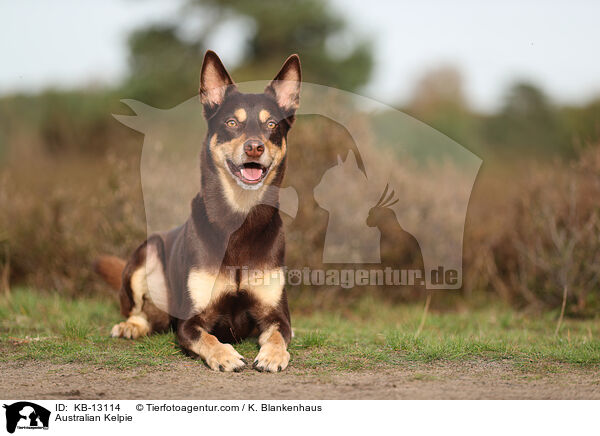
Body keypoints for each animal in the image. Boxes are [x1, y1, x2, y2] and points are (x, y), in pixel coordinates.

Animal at [96, 50, 302, 372]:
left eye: (271, 125)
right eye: (231, 122)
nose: (254, 147)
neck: (239, 220)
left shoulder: (276, 315)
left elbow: (279, 334)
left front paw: (273, 355)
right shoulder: (190, 321)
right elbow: (208, 339)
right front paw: (226, 355)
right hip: (146, 253)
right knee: (140, 312)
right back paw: (131, 326)